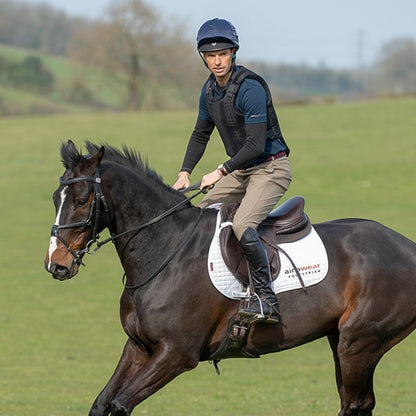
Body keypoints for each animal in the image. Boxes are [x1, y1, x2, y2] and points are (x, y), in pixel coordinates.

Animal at [44, 141, 416, 414]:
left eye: (81, 200)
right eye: (54, 199)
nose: (55, 265)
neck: (166, 249)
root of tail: (406, 247)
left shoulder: (176, 354)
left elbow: (120, 404)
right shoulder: (139, 347)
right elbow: (102, 403)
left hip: (359, 343)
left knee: (355, 403)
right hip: (339, 339)